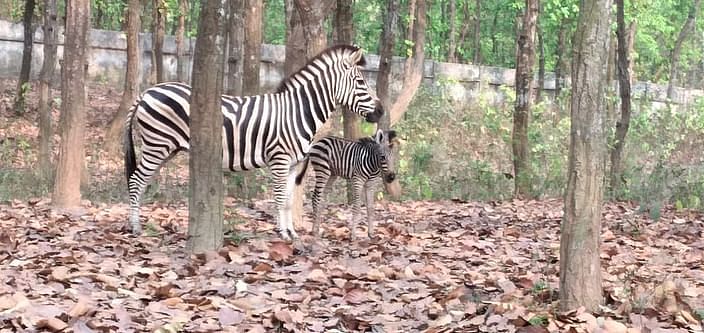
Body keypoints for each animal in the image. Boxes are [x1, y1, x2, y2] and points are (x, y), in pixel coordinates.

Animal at [123, 45, 382, 240]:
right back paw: (135, 228)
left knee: (141, 181)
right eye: (361, 82)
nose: (380, 111)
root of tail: (146, 92)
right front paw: (282, 233)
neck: (298, 112)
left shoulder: (294, 164)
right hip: (157, 145)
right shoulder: (280, 159)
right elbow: (279, 197)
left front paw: (291, 233)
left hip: (166, 148)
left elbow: (288, 200)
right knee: (136, 180)